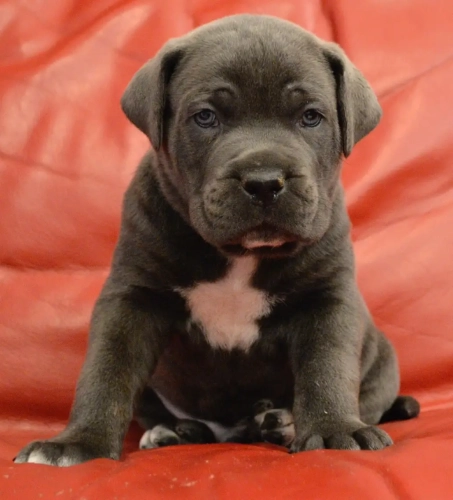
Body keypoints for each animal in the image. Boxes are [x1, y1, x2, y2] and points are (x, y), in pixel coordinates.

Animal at [15, 14, 420, 466]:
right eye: (206, 117)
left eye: (311, 117)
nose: (264, 182)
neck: (240, 255)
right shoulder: (131, 299)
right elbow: (107, 370)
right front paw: (79, 442)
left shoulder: (326, 298)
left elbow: (327, 368)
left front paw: (335, 431)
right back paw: (176, 432)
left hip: (383, 357)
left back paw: (281, 423)